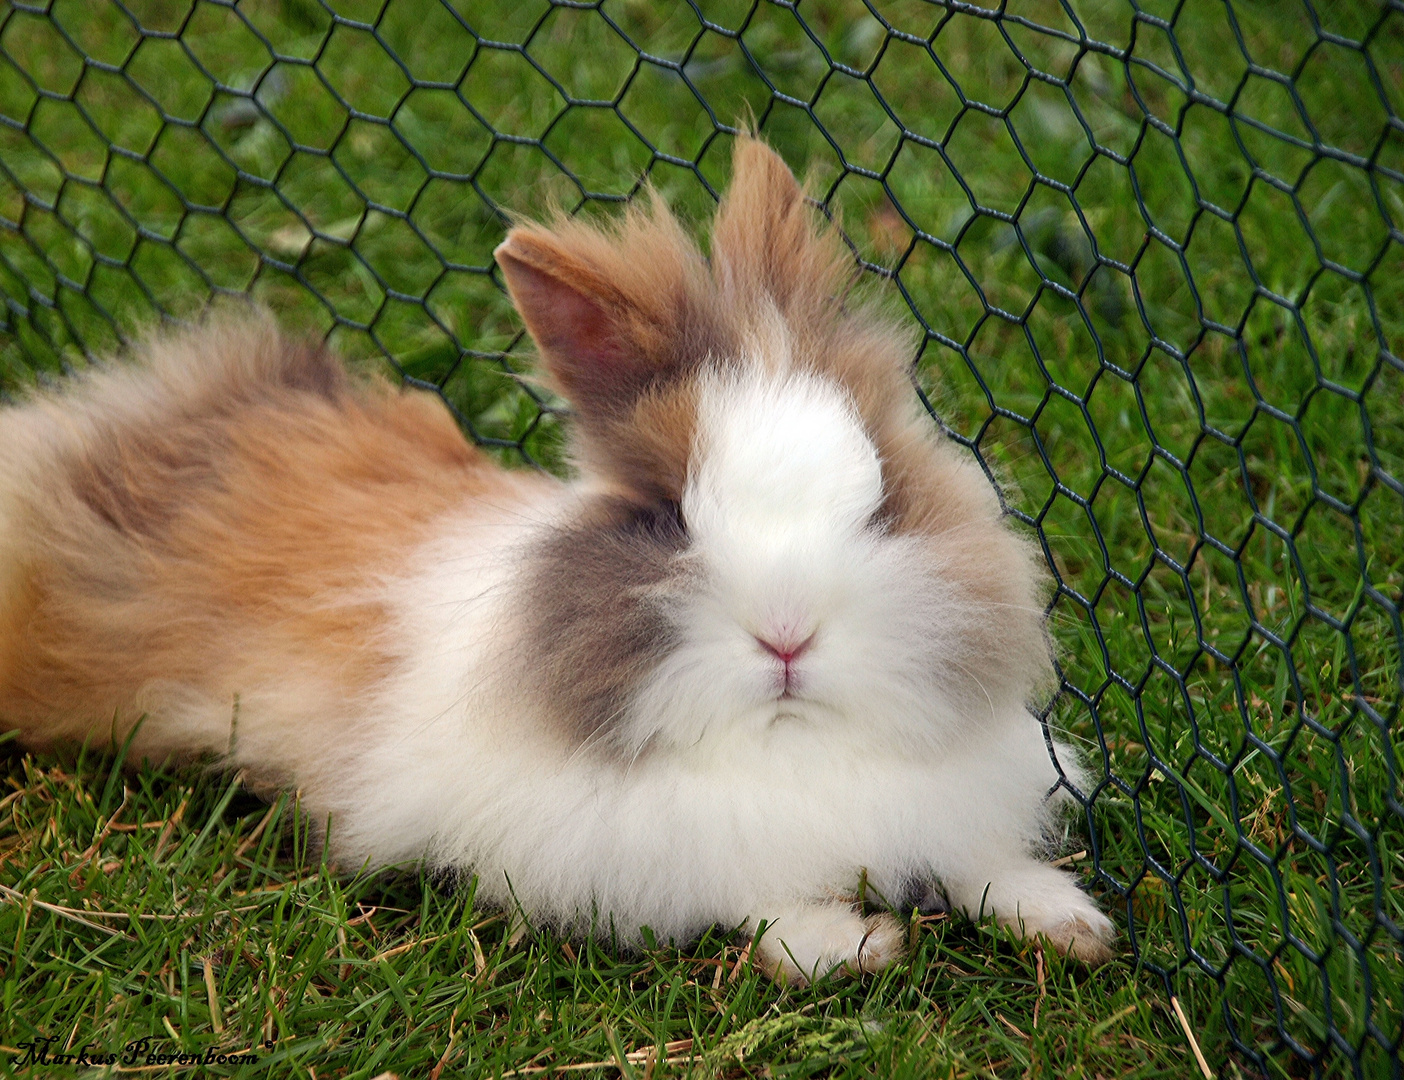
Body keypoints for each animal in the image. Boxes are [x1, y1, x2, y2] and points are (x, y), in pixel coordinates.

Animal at [0, 134, 1117, 977]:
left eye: (881, 492)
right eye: (668, 517)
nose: (787, 636)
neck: (790, 746)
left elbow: (978, 857)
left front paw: (1072, 925)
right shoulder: (646, 853)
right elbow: (755, 897)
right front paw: (852, 946)